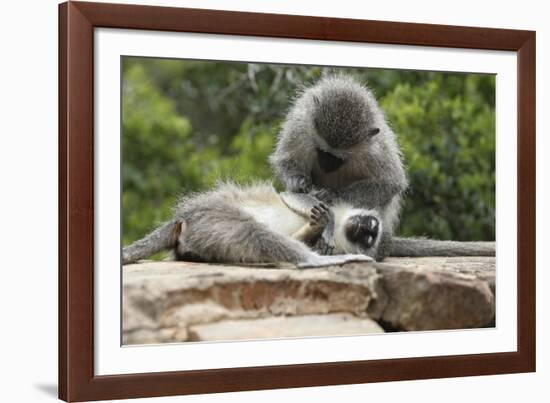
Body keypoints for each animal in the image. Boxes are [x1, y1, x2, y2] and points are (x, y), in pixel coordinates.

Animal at [123, 184, 384, 268]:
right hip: (213, 215)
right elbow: (291, 196)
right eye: (369, 227)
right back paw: (313, 260)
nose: (365, 229)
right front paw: (325, 221)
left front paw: (316, 227)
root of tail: (184, 218)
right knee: (251, 231)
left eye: (369, 238)